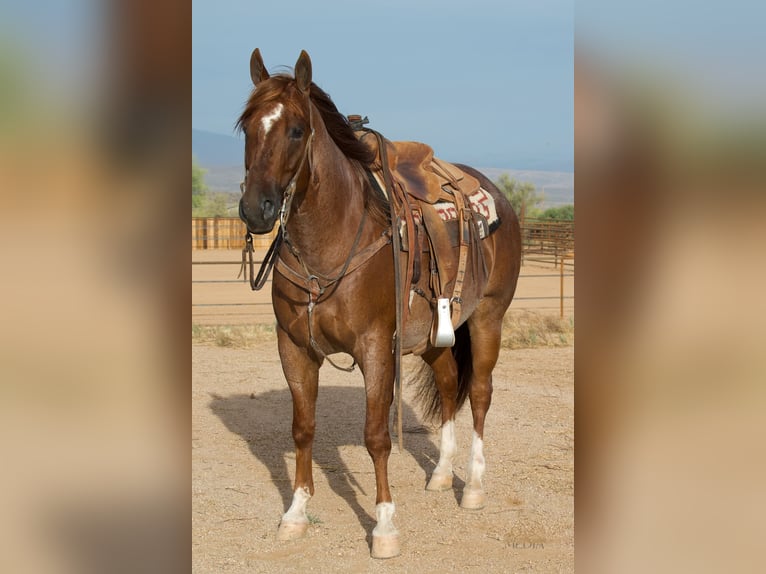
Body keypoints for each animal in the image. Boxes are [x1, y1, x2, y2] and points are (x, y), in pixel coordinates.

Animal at [236, 49, 521, 559]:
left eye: (296, 129)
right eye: (247, 127)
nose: (256, 208)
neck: (330, 244)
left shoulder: (374, 348)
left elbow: (376, 437)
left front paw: (385, 525)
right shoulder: (294, 347)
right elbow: (303, 428)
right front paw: (295, 513)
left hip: (489, 318)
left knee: (480, 394)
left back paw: (472, 488)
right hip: (432, 337)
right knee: (449, 384)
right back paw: (442, 474)